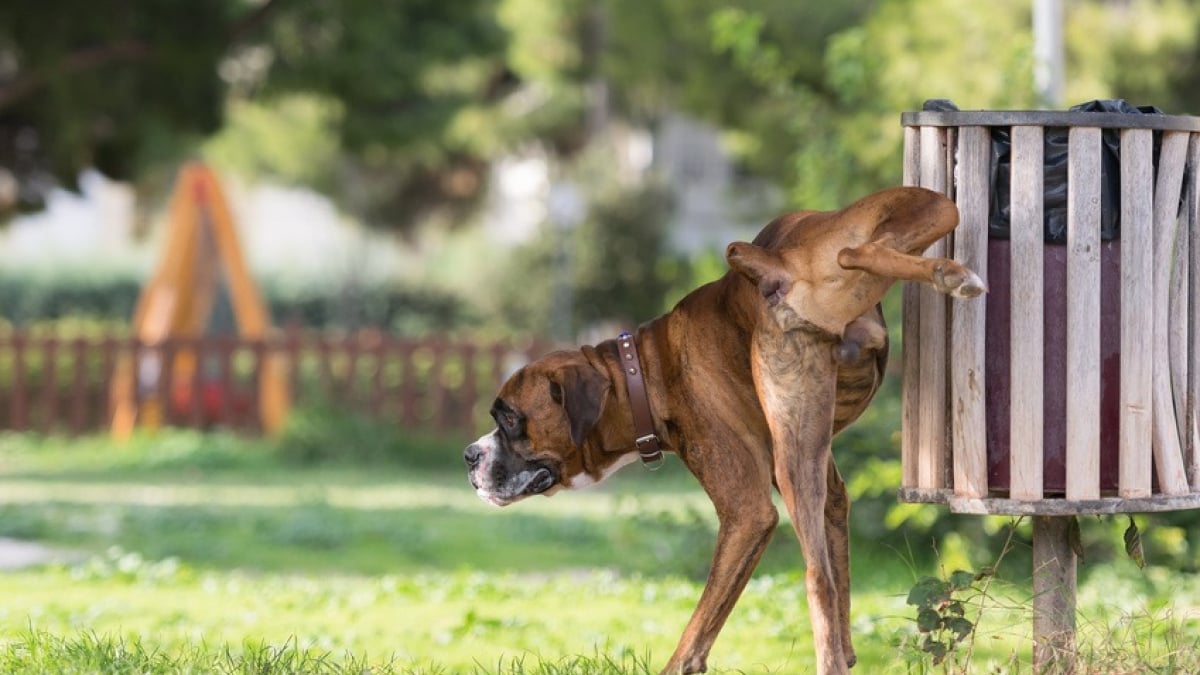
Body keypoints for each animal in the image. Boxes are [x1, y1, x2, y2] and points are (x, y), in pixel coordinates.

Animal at [463, 184, 979, 672]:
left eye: (509, 418)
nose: (470, 455)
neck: (643, 371)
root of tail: (776, 263)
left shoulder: (746, 513)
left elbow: (699, 627)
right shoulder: (828, 489)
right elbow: (841, 565)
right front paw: (848, 651)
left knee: (817, 580)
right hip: (926, 211)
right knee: (862, 248)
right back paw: (947, 273)